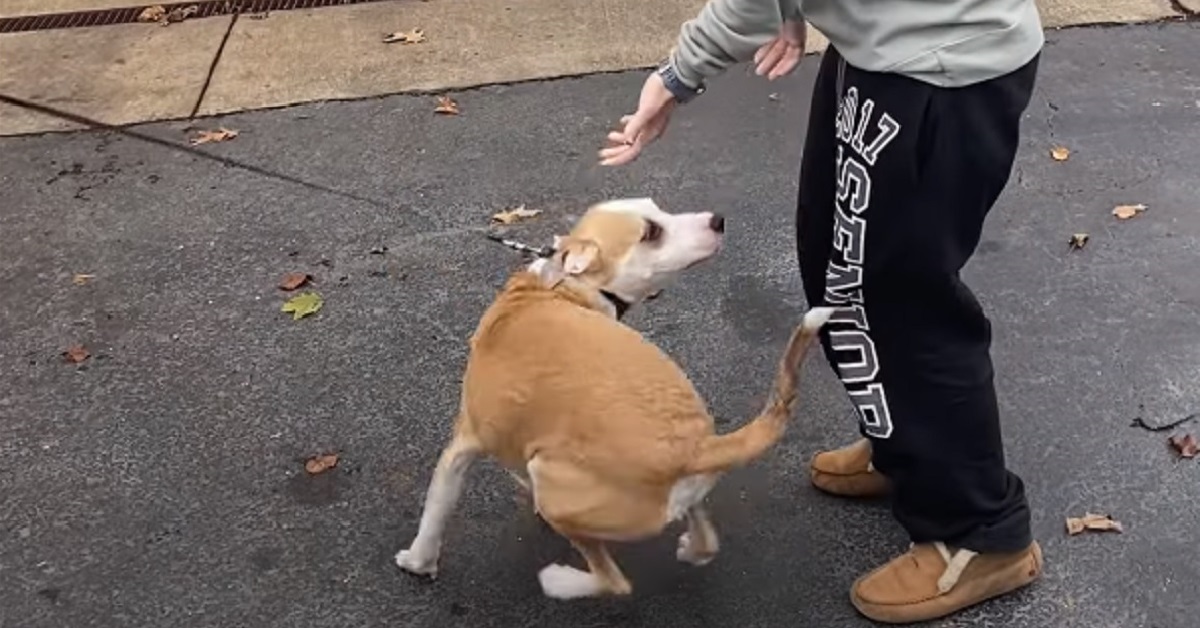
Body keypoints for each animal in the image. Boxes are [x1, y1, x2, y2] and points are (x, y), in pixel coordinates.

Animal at [398, 200, 830, 600]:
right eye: (652, 228)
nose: (717, 220)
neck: (562, 288)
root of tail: (696, 447)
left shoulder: (465, 442)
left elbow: (436, 510)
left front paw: (418, 561)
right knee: (706, 540)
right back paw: (693, 548)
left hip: (558, 488)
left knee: (613, 581)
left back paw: (561, 581)